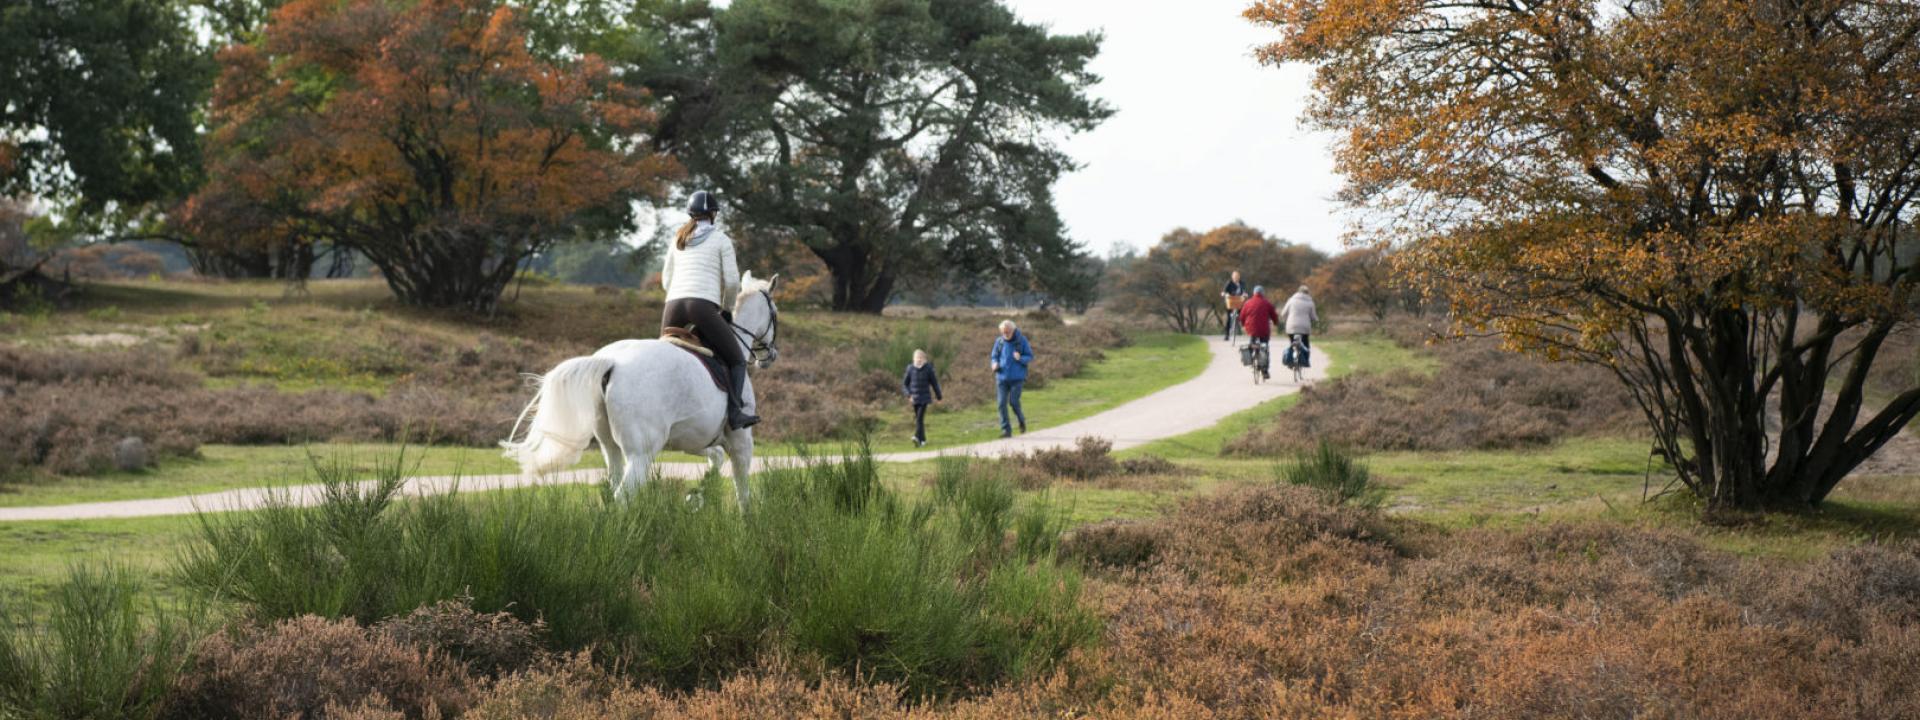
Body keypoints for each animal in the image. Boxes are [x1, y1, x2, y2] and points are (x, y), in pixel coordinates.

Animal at [510, 272, 787, 503]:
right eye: (775, 312)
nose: (770, 356)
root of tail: (611, 362)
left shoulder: (695, 439)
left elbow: (716, 458)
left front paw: (698, 494)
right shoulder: (741, 442)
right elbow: (743, 493)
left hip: (611, 448)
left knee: (612, 488)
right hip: (641, 453)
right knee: (622, 496)